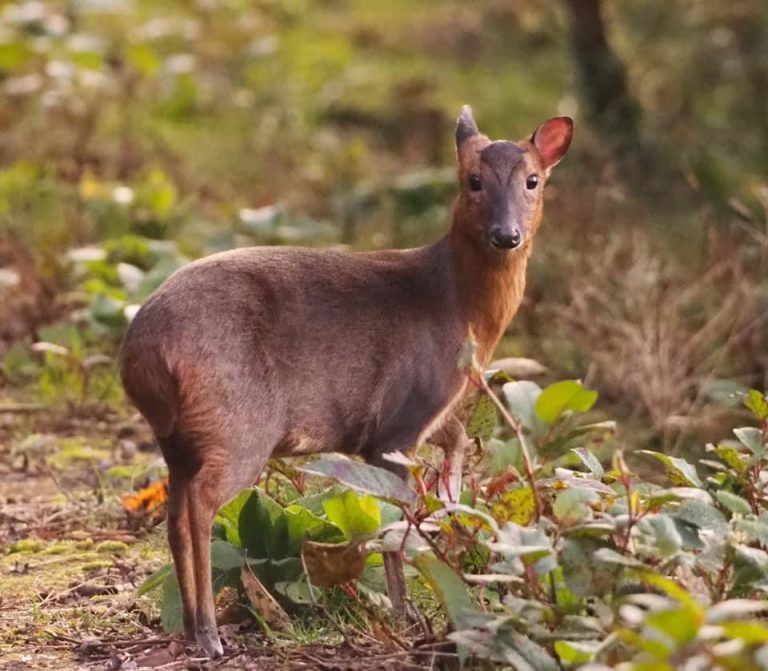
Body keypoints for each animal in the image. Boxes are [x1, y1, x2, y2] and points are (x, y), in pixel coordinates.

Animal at [119, 105, 573, 658]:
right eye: (473, 180)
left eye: (533, 180)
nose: (506, 235)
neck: (459, 308)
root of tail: (142, 352)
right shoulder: (400, 419)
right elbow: (396, 518)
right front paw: (406, 611)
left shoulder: (417, 417)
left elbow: (458, 438)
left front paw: (453, 502)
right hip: (239, 421)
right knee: (201, 504)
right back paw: (208, 632)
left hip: (178, 437)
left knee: (174, 512)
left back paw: (189, 625)